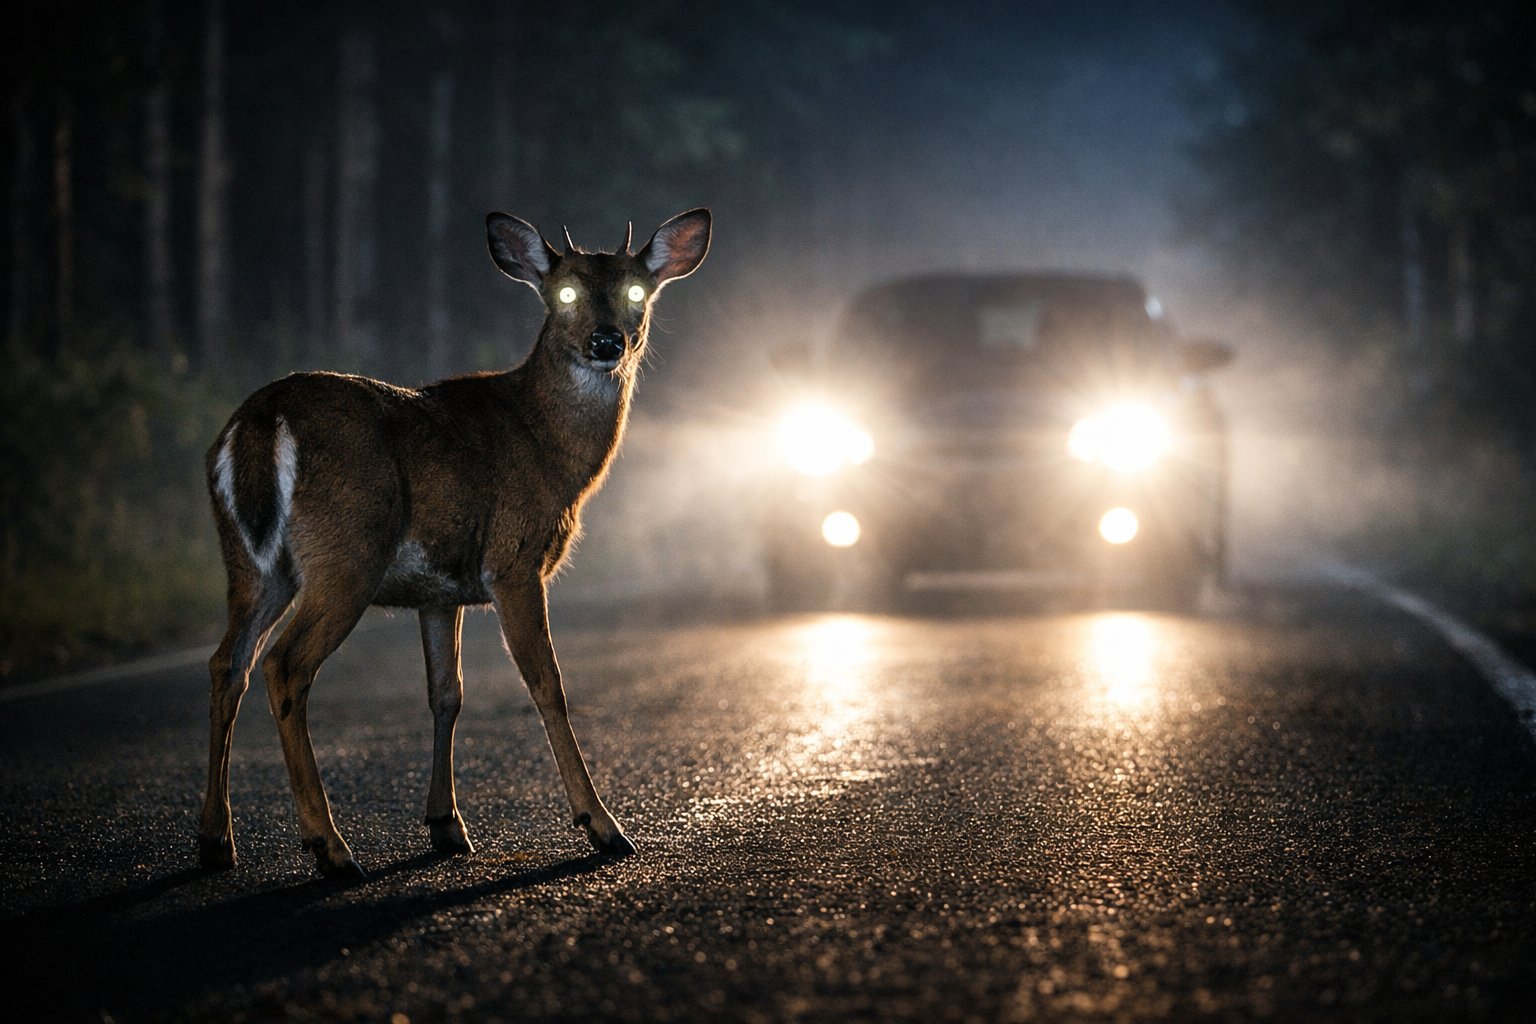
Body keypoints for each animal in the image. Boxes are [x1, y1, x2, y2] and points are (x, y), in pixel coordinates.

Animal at [198, 208, 711, 879]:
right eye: (565, 293)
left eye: (634, 291)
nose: (607, 342)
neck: (547, 448)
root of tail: (260, 421)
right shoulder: (513, 562)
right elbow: (547, 683)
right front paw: (601, 825)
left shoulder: (438, 590)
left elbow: (447, 694)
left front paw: (446, 825)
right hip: (347, 552)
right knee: (284, 666)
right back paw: (330, 847)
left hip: (252, 564)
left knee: (227, 662)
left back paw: (216, 840)